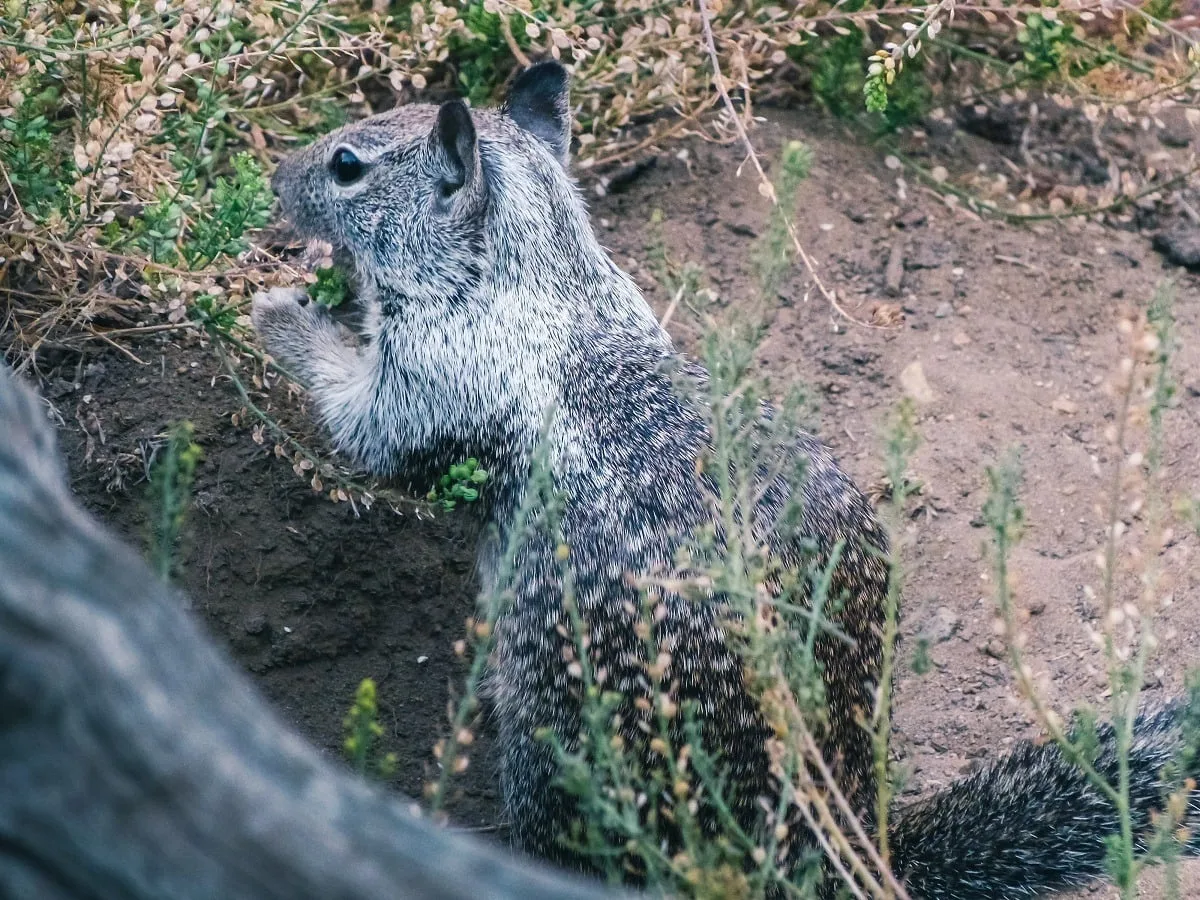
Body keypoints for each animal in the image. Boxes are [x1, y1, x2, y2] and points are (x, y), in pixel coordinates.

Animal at [251, 61, 1200, 898]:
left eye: (346, 165)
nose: (274, 175)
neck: (545, 280)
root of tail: (830, 846)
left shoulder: (436, 381)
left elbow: (367, 427)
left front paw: (280, 312)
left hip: (561, 747)